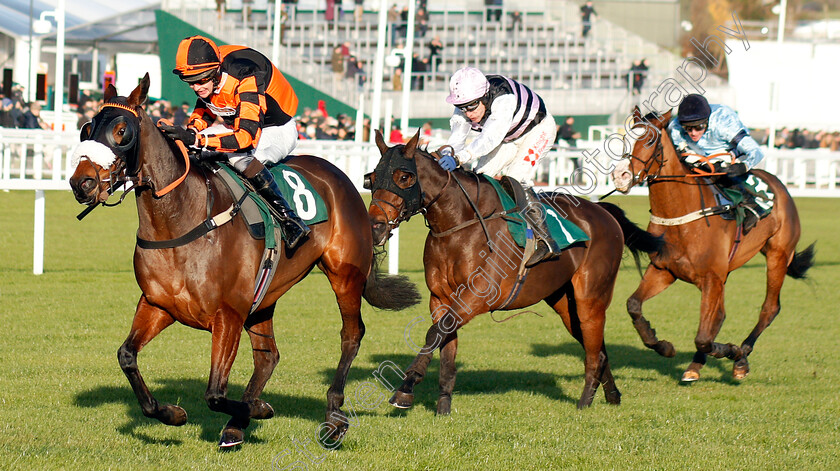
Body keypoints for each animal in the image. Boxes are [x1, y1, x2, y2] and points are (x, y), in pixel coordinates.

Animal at [67, 75, 418, 448]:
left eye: (122, 131)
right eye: (87, 127)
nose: (81, 183)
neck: (183, 219)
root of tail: (340, 176)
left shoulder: (229, 315)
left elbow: (215, 394)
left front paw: (257, 409)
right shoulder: (158, 305)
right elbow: (127, 356)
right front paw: (173, 413)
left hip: (344, 274)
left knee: (351, 335)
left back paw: (333, 417)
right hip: (267, 292)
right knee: (268, 355)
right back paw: (238, 424)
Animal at [364, 130, 660, 412]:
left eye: (404, 176)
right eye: (372, 177)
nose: (376, 227)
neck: (458, 224)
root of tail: (601, 209)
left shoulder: (477, 296)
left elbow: (433, 334)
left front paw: (405, 389)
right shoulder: (441, 299)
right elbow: (445, 344)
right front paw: (443, 406)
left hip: (591, 296)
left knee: (593, 349)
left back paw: (585, 402)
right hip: (564, 302)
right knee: (596, 347)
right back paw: (612, 395)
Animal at [612, 107, 812, 384]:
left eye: (650, 142)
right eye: (625, 140)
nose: (620, 176)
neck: (681, 216)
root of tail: (779, 186)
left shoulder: (711, 278)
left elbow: (704, 338)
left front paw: (733, 352)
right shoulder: (665, 270)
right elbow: (633, 305)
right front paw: (662, 345)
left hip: (778, 255)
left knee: (769, 308)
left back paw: (741, 357)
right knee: (720, 316)